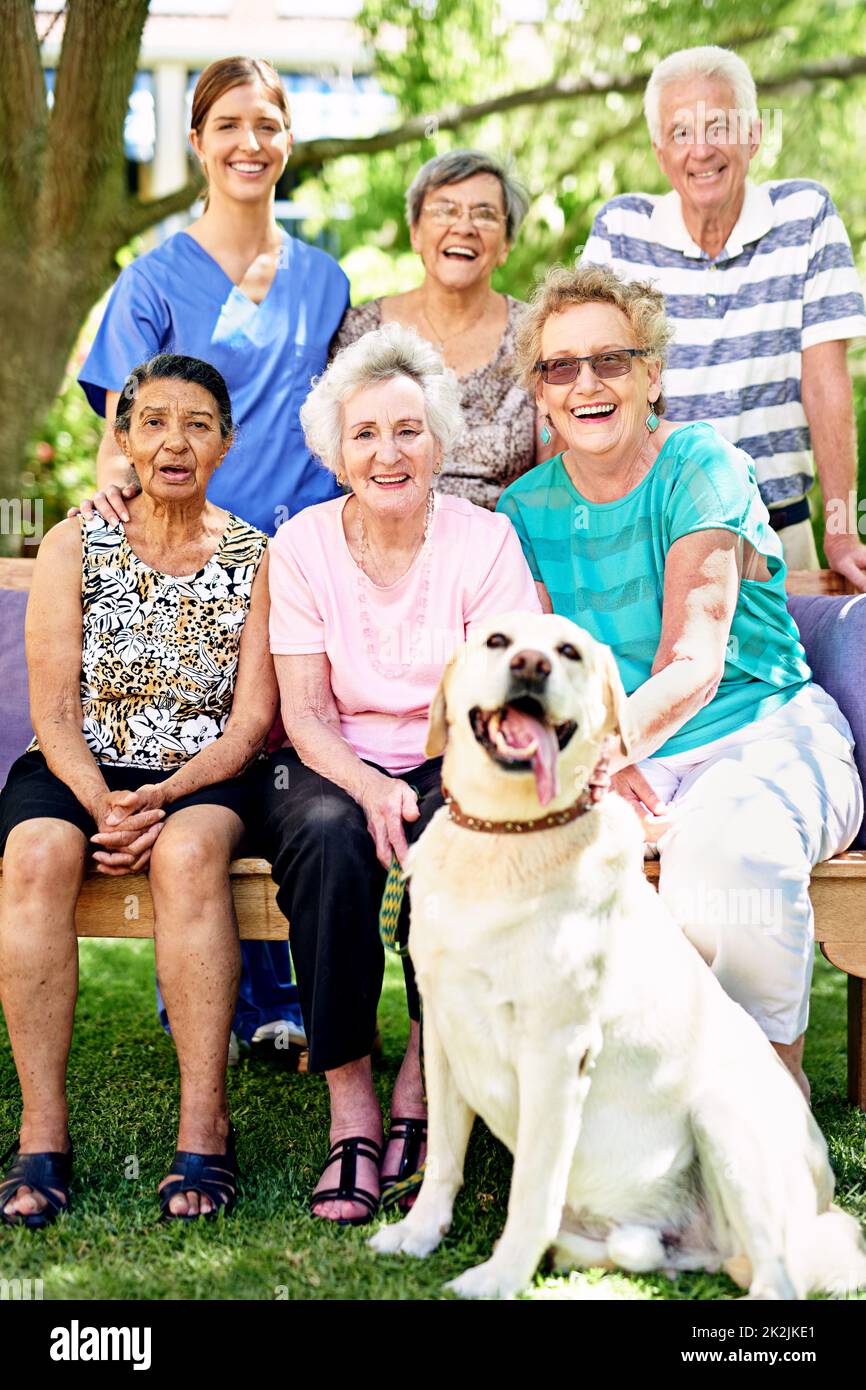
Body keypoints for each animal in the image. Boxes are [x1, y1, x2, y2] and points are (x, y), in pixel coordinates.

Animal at [369, 614, 866, 1295]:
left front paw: (498, 1276)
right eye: (497, 641)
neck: (505, 834)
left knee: (777, 1270)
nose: (530, 665)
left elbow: (532, 1190)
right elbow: (444, 1157)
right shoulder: (445, 1036)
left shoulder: (555, 1056)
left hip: (727, 1118)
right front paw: (419, 1234)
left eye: (568, 651)